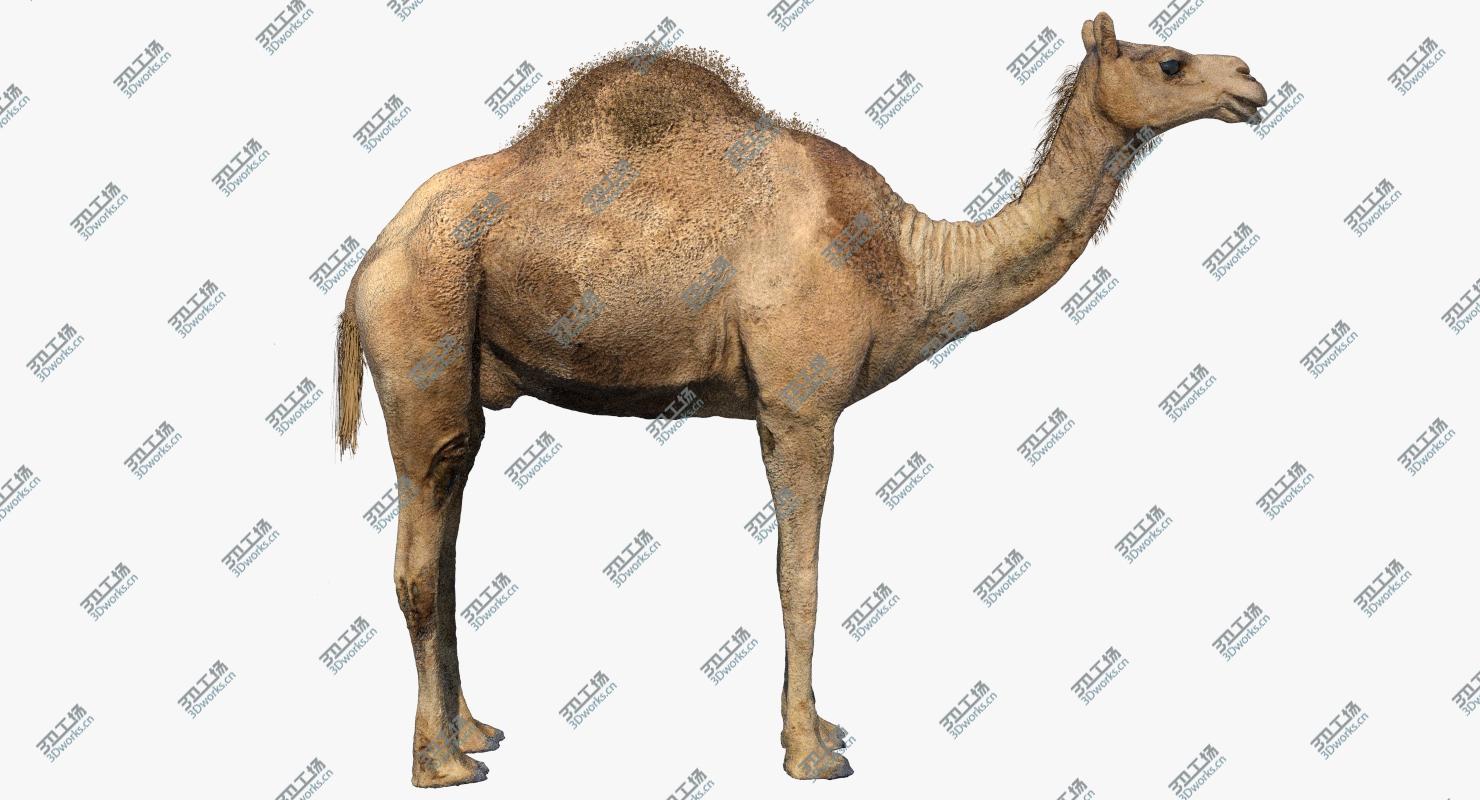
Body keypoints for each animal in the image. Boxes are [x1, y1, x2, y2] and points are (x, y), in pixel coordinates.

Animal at [333, 12, 1267, 786]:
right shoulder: (799, 407)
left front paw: (824, 729)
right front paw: (811, 751)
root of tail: (367, 261)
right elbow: (801, 575)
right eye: (1170, 61)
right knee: (418, 556)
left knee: (448, 543)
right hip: (419, 336)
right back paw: (442, 765)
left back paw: (475, 732)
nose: (1252, 80)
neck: (903, 261)